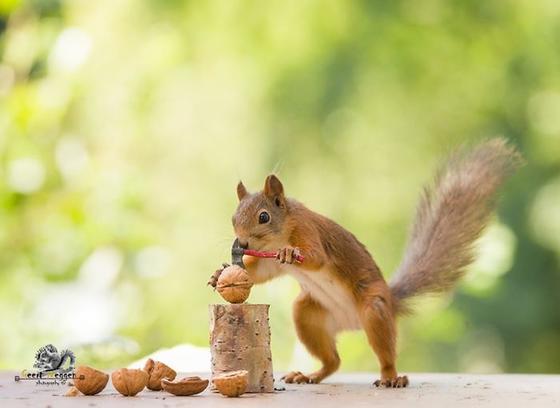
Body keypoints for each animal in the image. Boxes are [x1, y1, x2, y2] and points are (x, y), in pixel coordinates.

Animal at [209, 139, 520, 388]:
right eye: (234, 217)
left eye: (264, 217)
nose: (242, 243)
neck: (279, 234)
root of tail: (353, 322)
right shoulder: (270, 265)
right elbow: (259, 272)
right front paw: (220, 273)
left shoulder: (309, 232)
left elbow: (315, 257)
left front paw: (289, 252)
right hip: (308, 314)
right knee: (333, 361)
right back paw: (309, 375)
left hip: (375, 308)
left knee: (383, 353)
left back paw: (391, 377)